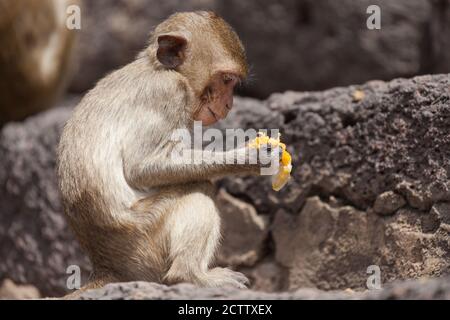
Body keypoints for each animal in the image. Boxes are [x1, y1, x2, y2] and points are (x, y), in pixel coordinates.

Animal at [57, 11, 278, 292]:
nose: (229, 103)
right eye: (226, 80)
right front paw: (250, 159)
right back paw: (191, 276)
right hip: (144, 239)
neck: (159, 68)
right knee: (199, 189)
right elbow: (140, 168)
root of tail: (106, 267)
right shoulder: (170, 93)